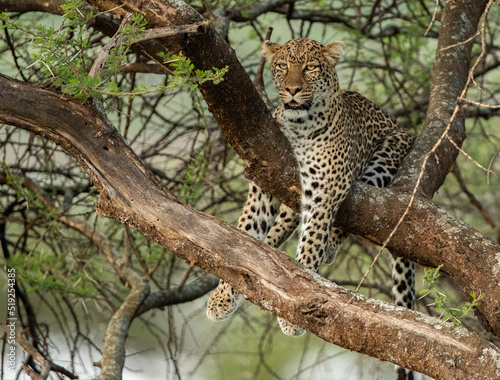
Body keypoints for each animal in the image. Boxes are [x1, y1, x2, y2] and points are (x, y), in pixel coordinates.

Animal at [206, 37, 414, 378]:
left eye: (310, 67)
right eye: (282, 66)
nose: (291, 90)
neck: (300, 128)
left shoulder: (325, 189)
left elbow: (312, 242)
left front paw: (295, 309)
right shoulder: (265, 180)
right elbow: (244, 236)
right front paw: (224, 295)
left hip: (389, 153)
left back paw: (327, 246)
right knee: (276, 234)